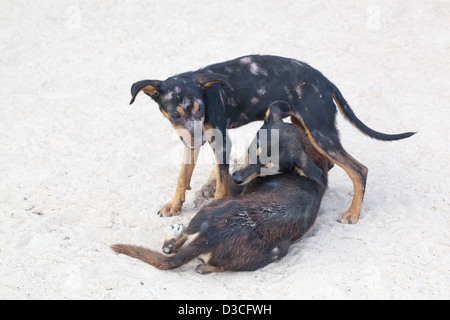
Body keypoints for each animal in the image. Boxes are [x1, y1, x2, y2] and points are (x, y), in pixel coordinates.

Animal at [112, 101, 330, 274]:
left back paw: (175, 234)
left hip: (213, 212)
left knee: (174, 250)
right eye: (254, 148)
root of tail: (211, 237)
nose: (236, 178)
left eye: (270, 168)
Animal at [129, 54, 414, 222]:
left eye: (200, 108)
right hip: (305, 126)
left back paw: (353, 213)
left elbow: (221, 184)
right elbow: (182, 175)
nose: (198, 140)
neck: (206, 94)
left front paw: (214, 206)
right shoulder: (191, 138)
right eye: (175, 115)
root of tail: (324, 82)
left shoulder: (219, 141)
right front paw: (174, 205)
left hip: (320, 131)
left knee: (358, 169)